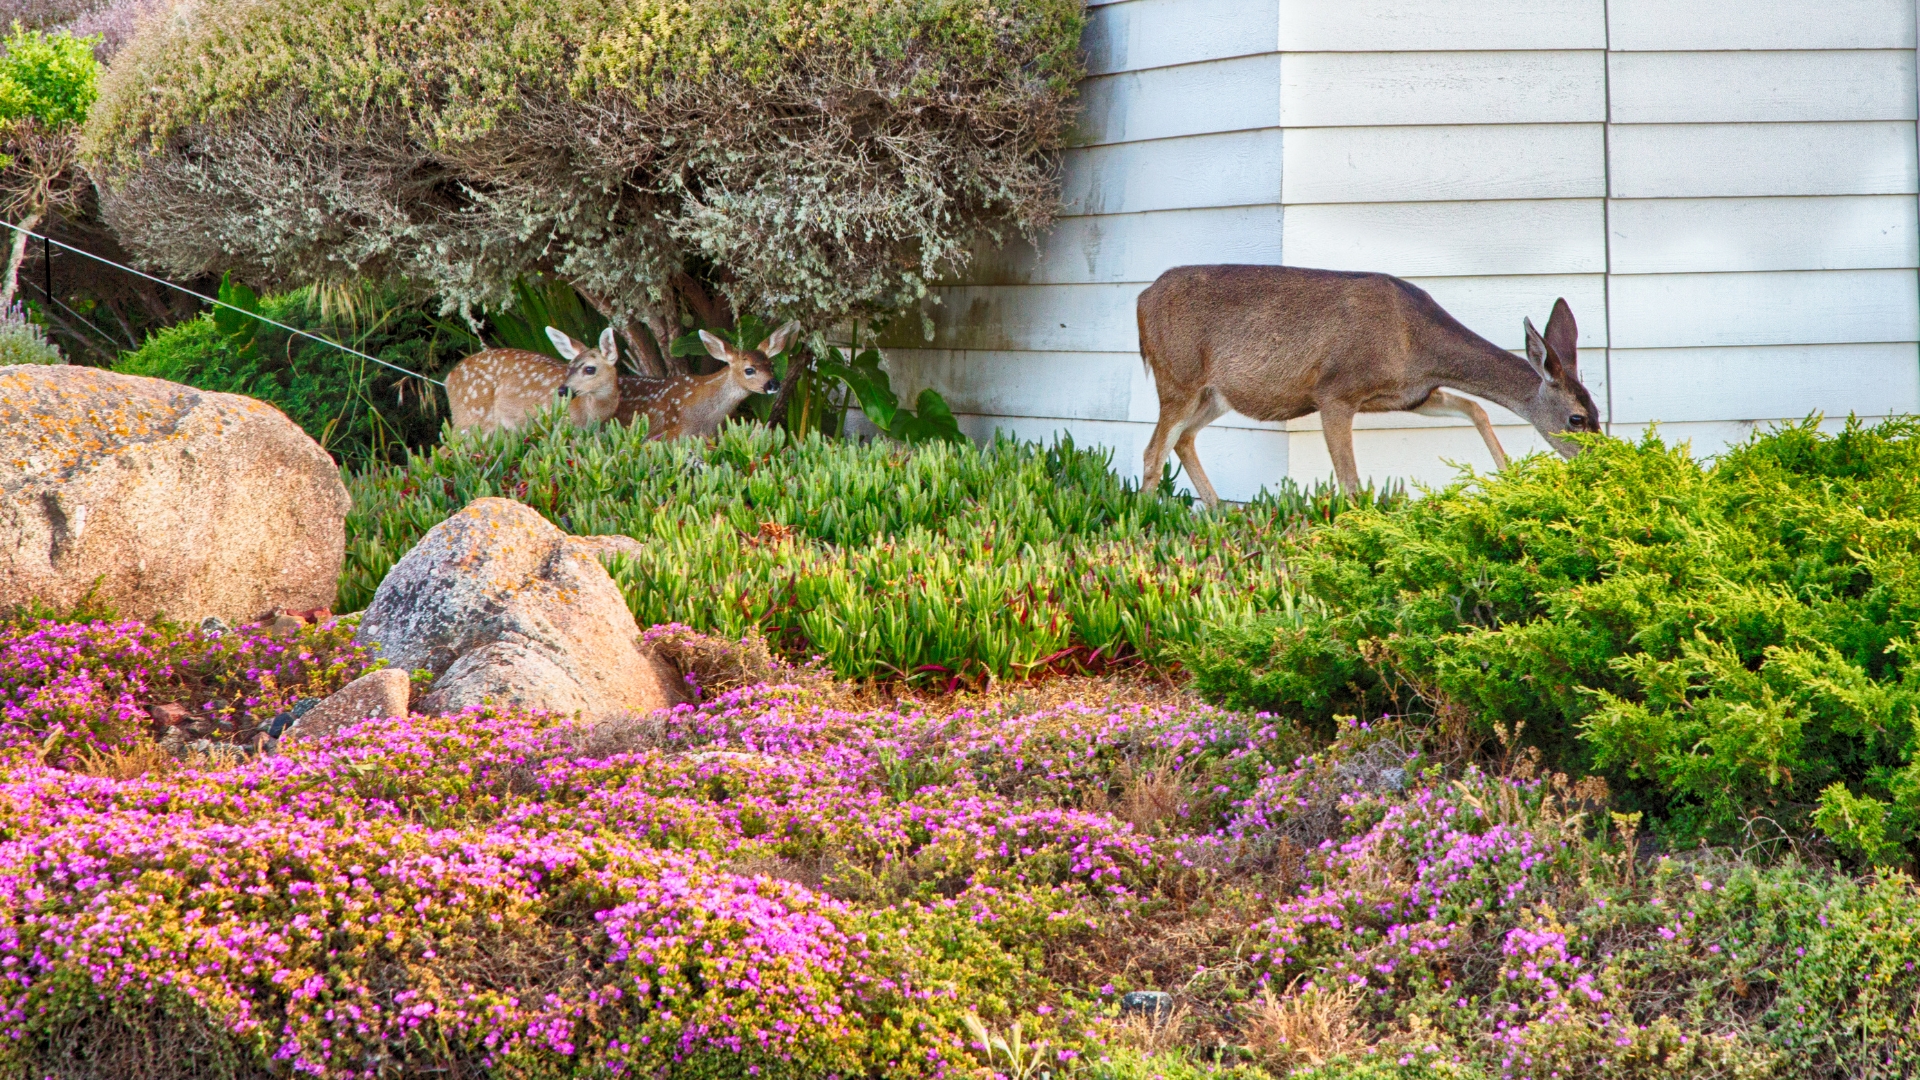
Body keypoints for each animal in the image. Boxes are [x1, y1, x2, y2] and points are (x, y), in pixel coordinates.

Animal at [1136, 267, 1605, 507]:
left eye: (1599, 413)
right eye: (1576, 418)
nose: (1603, 462)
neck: (1416, 342)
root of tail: (1140, 299)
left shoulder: (1411, 395)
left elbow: (1476, 408)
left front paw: (1507, 477)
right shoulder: (1335, 390)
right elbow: (1350, 482)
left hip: (1214, 394)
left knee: (1184, 440)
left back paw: (1216, 511)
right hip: (1177, 376)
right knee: (1154, 449)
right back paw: (1144, 522)